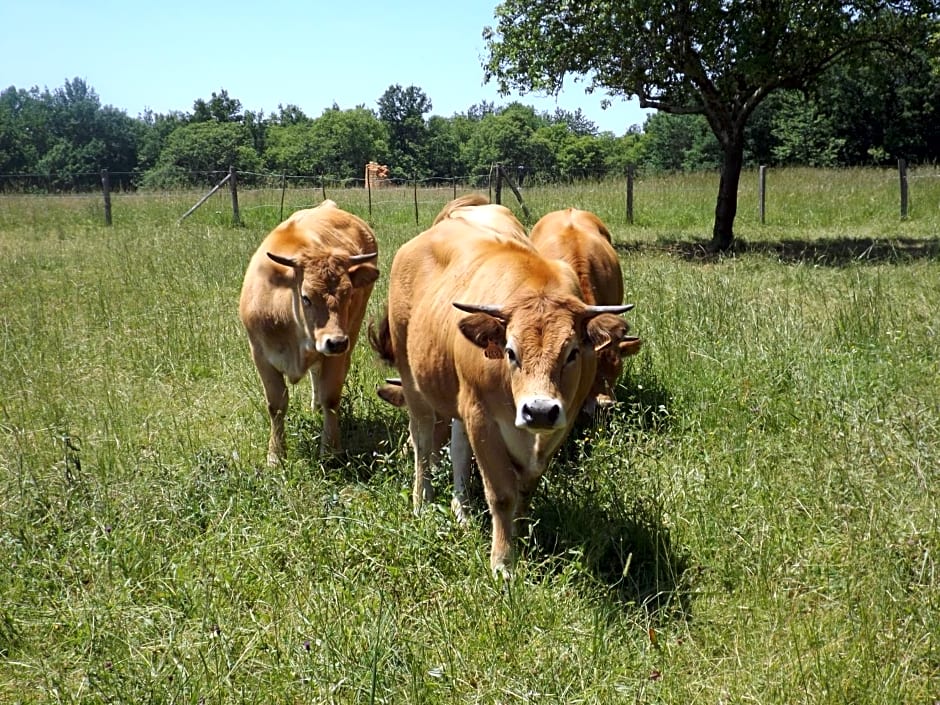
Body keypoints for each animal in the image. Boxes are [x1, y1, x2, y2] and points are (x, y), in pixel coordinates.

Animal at [239, 198, 378, 462]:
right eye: (306, 297)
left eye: (348, 294)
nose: (336, 341)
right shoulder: (260, 355)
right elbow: (276, 404)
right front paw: (275, 455)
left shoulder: (337, 353)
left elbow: (331, 397)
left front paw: (331, 450)